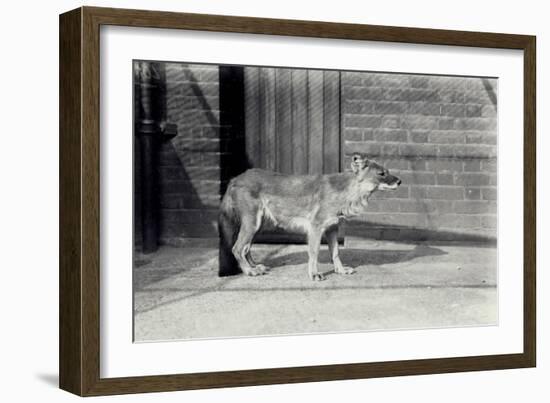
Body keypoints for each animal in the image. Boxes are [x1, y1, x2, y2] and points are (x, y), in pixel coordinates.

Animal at [218, 152, 404, 280]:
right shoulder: (316, 228)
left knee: (246, 248)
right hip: (252, 223)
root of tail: (235, 178)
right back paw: (249, 271)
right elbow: (314, 253)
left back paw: (256, 266)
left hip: (258, 225)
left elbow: (335, 253)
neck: (345, 190)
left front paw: (340, 270)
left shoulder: (332, 228)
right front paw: (314, 274)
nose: (400, 182)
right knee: (237, 248)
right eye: (381, 173)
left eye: (387, 171)